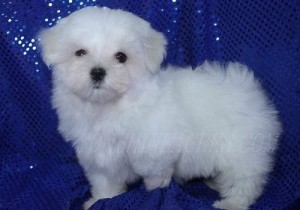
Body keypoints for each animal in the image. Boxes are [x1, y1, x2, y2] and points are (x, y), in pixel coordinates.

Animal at [39, 6, 282, 210]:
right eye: (80, 52)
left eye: (121, 57)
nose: (97, 72)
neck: (108, 107)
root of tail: (248, 89)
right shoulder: (97, 154)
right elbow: (105, 181)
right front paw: (101, 200)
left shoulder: (155, 150)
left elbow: (156, 175)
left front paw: (153, 191)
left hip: (241, 148)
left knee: (245, 178)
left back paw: (231, 203)